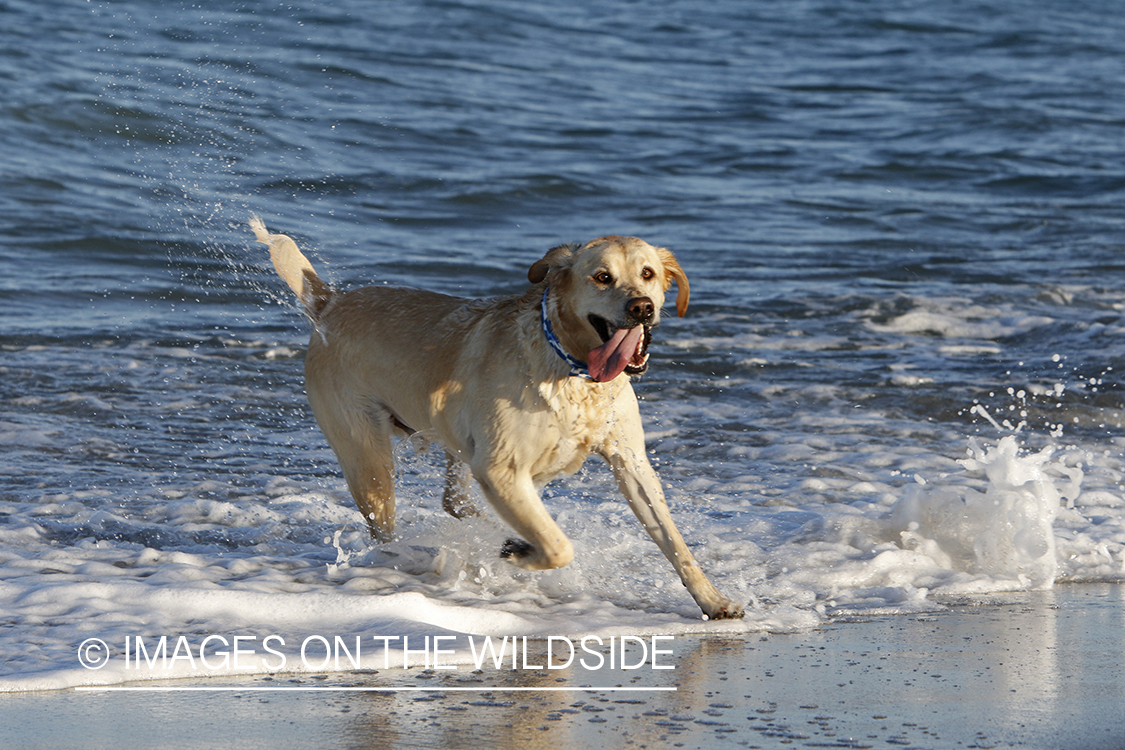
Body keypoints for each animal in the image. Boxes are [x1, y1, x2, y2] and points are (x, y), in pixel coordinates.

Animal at [252, 218, 742, 620]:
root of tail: (330, 304)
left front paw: (713, 600)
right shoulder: (502, 468)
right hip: (369, 461)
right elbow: (559, 545)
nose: (642, 306)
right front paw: (519, 551)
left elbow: (675, 543)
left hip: (456, 446)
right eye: (603, 277)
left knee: (457, 502)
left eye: (648, 275)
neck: (572, 370)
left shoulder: (631, 464)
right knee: (389, 531)